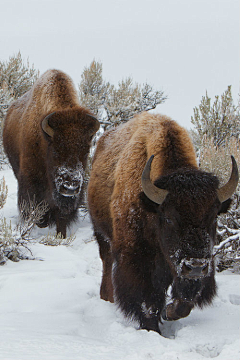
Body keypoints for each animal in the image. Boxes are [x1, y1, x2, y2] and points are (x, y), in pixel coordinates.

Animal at [3, 69, 98, 238]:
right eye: (55, 149)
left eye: (86, 151)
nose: (70, 187)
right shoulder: (31, 182)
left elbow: (61, 216)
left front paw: (61, 235)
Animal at [87, 111, 237, 334]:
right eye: (168, 217)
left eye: (214, 216)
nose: (195, 266)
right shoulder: (138, 260)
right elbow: (148, 302)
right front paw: (151, 329)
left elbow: (184, 301)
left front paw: (169, 312)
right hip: (102, 234)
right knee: (107, 262)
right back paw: (107, 297)